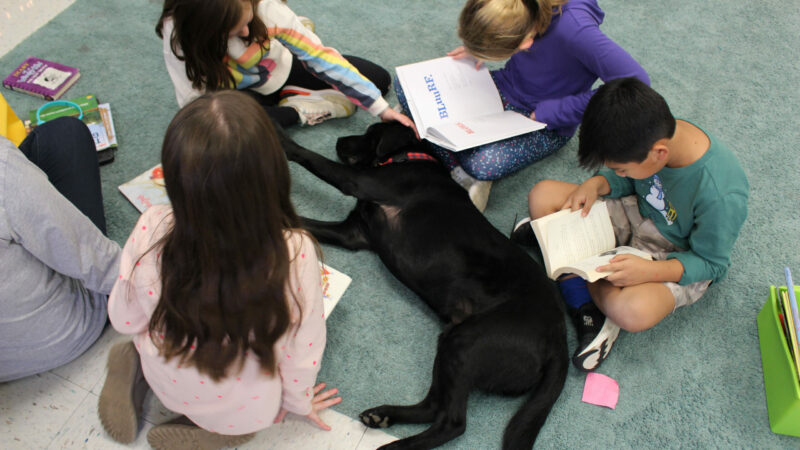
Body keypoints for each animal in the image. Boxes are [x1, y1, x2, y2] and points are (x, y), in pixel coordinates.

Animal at [282, 123, 568, 450]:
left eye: (370, 133)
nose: (340, 140)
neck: (409, 157)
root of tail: (559, 337)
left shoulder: (359, 182)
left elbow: (312, 158)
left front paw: (282, 139)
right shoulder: (352, 233)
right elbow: (302, 223)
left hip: (466, 342)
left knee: (453, 422)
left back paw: (395, 445)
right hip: (449, 343)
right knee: (432, 406)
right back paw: (383, 416)